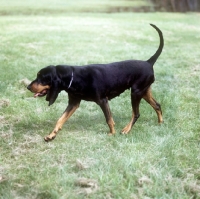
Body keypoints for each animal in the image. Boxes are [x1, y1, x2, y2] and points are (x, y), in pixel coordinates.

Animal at [27, 23, 163, 141]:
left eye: (41, 77)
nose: (28, 87)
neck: (74, 77)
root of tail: (148, 62)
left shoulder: (103, 101)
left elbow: (109, 119)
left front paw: (112, 133)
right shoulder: (73, 103)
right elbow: (60, 119)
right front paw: (51, 135)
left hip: (135, 93)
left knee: (136, 113)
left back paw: (126, 130)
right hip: (143, 91)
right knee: (157, 105)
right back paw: (160, 123)